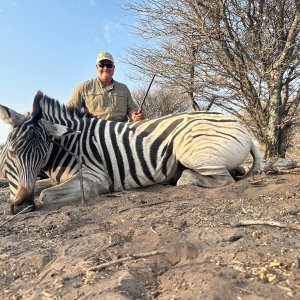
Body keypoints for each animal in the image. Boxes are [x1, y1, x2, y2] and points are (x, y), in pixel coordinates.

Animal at [0, 91, 262, 213]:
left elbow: (45, 195)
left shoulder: (95, 179)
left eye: (42, 154)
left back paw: (182, 178)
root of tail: (240, 124)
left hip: (190, 151)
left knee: (221, 178)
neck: (70, 144)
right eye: (11, 152)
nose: (23, 205)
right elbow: (42, 188)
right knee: (235, 172)